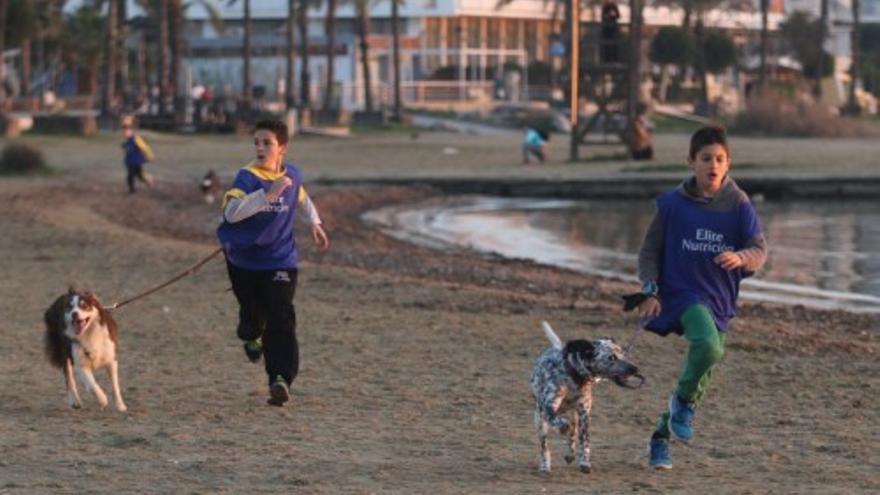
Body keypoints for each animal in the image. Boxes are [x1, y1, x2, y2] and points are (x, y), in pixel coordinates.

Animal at [528, 324, 640, 474]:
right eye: (611, 357)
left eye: (623, 353)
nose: (635, 368)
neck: (573, 378)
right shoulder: (548, 405)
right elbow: (556, 419)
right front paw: (563, 426)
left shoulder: (584, 414)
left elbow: (585, 440)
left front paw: (584, 461)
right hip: (539, 421)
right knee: (544, 446)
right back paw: (545, 465)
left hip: (574, 415)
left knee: (573, 434)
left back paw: (570, 453)